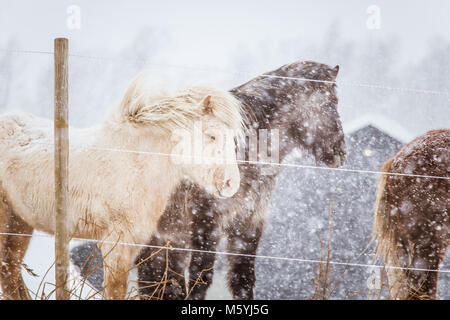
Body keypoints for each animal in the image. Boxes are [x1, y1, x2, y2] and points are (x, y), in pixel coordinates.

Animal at [0, 74, 244, 298]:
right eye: (211, 135)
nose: (231, 184)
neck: (134, 162)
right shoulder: (115, 245)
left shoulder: (134, 244)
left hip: (20, 224)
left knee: (10, 271)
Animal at [135, 60, 346, 300]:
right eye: (333, 102)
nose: (340, 152)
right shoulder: (206, 221)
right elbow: (201, 278)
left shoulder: (248, 222)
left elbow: (243, 278)